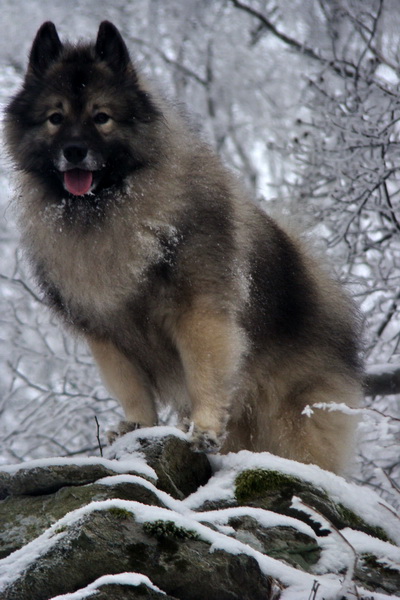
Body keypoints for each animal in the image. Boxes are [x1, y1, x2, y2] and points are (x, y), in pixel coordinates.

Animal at [4, 22, 364, 474]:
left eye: (102, 117)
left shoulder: (200, 313)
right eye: (55, 118)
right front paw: (136, 427)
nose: (74, 151)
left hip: (291, 419)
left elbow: (204, 373)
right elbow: (132, 389)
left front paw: (203, 428)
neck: (108, 213)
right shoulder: (106, 335)